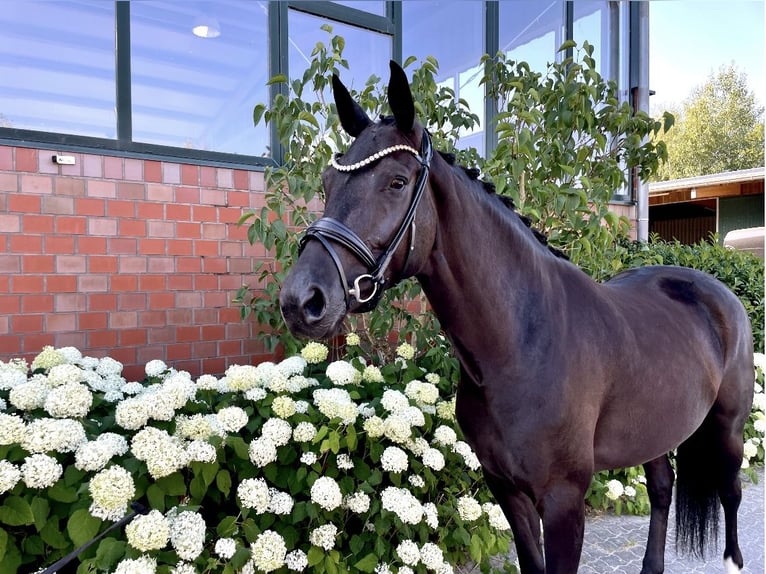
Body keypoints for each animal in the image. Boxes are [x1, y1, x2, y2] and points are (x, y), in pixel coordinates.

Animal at [279, 61, 755, 574]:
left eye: (397, 182)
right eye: (327, 184)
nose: (301, 300)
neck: (522, 343)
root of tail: (718, 293)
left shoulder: (564, 502)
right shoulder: (507, 490)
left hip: (728, 429)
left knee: (730, 494)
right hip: (654, 429)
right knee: (663, 487)